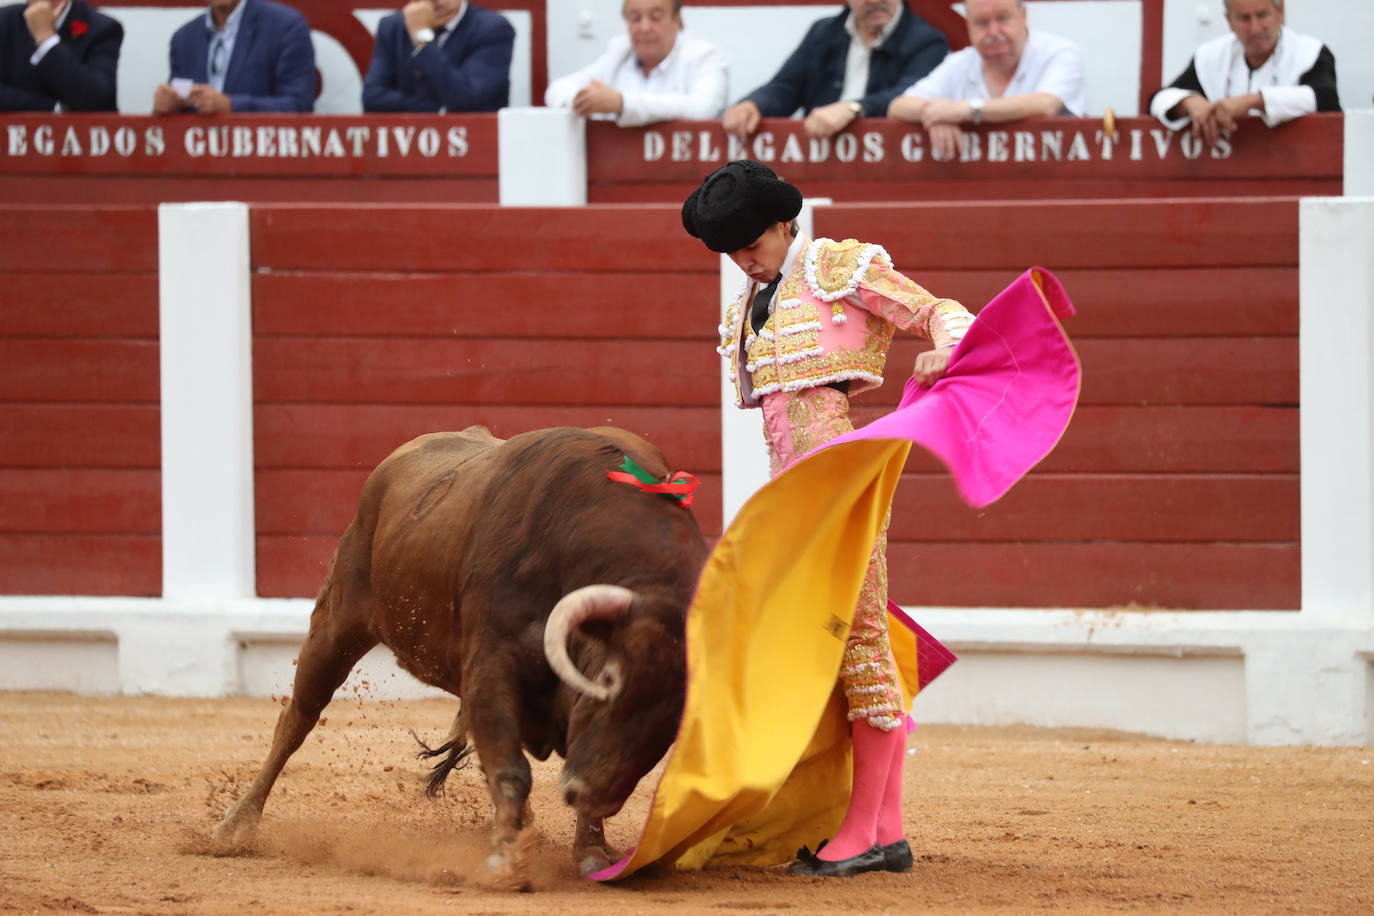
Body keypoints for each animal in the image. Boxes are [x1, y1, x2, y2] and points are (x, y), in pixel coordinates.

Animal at [214, 428, 714, 878]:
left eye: (675, 722)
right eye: (608, 681)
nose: (585, 793)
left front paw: (588, 851)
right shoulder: (490, 665)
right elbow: (510, 768)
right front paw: (507, 860)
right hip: (336, 624)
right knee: (297, 719)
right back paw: (236, 826)